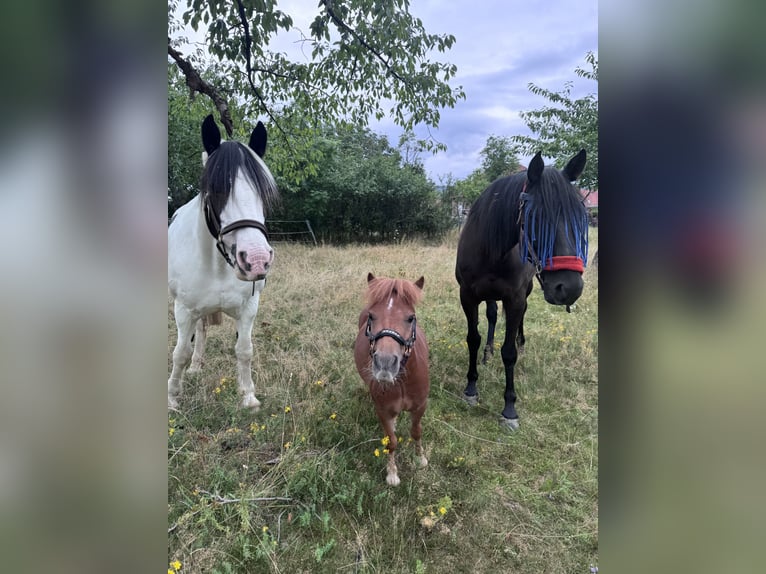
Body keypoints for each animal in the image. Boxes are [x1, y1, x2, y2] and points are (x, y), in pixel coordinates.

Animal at [166, 117, 280, 412]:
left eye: (264, 192)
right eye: (216, 189)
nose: (256, 260)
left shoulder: (249, 307)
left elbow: (244, 350)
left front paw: (248, 396)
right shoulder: (184, 310)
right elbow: (180, 353)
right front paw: (172, 398)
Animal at [356, 274, 432, 486]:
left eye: (410, 318)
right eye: (372, 316)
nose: (385, 363)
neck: (402, 382)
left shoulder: (420, 406)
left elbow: (416, 431)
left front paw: (420, 459)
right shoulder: (382, 411)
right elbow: (391, 441)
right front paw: (392, 473)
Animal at [456, 151, 592, 430]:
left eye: (580, 216)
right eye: (535, 217)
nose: (570, 288)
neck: (491, 251)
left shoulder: (515, 298)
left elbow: (509, 352)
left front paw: (509, 409)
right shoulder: (468, 296)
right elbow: (473, 339)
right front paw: (471, 388)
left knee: (520, 319)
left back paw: (521, 341)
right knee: (492, 316)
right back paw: (488, 352)